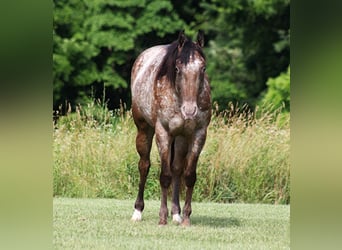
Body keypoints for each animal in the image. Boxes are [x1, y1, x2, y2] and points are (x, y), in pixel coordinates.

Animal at [131, 30, 211, 226]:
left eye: (203, 69)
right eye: (177, 69)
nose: (189, 110)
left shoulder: (198, 134)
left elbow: (188, 175)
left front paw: (186, 218)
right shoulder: (163, 133)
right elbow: (164, 176)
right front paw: (162, 217)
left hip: (180, 138)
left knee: (176, 169)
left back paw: (176, 213)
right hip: (144, 130)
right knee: (144, 165)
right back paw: (137, 211)